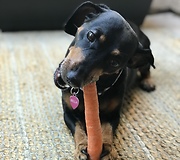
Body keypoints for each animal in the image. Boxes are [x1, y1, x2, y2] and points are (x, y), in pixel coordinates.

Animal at [53, 1, 155, 160]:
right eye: (90, 35)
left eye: (114, 62)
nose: (72, 78)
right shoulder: (68, 113)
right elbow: (78, 129)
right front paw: (81, 147)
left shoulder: (113, 116)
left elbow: (107, 129)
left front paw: (107, 148)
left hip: (145, 59)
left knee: (147, 70)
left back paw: (148, 82)